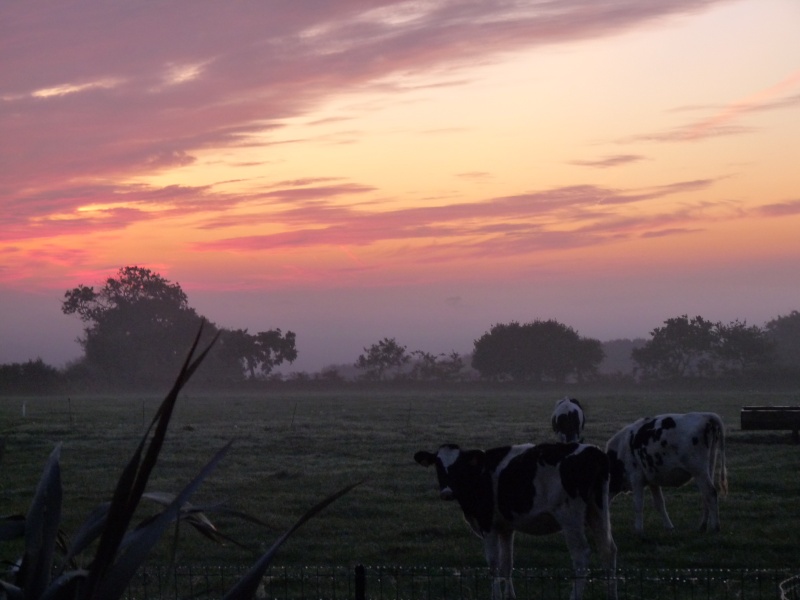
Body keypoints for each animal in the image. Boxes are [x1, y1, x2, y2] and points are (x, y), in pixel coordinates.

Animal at [416, 440, 616, 600]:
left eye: (459, 467)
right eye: (438, 466)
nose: (447, 493)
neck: (479, 475)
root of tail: (594, 452)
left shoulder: (487, 524)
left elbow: (494, 564)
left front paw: (495, 596)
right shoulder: (506, 527)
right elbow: (507, 564)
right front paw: (510, 596)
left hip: (570, 518)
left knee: (581, 556)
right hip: (598, 510)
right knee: (608, 550)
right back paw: (611, 595)